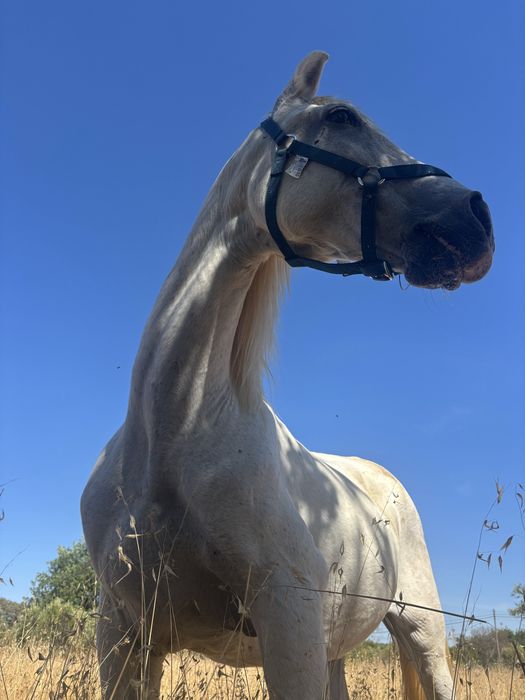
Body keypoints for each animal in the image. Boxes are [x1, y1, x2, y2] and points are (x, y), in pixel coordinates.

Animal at [81, 51, 494, 699]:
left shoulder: (288, 621)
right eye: (342, 116)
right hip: (336, 651)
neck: (175, 433)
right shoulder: (122, 633)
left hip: (424, 634)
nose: (476, 216)